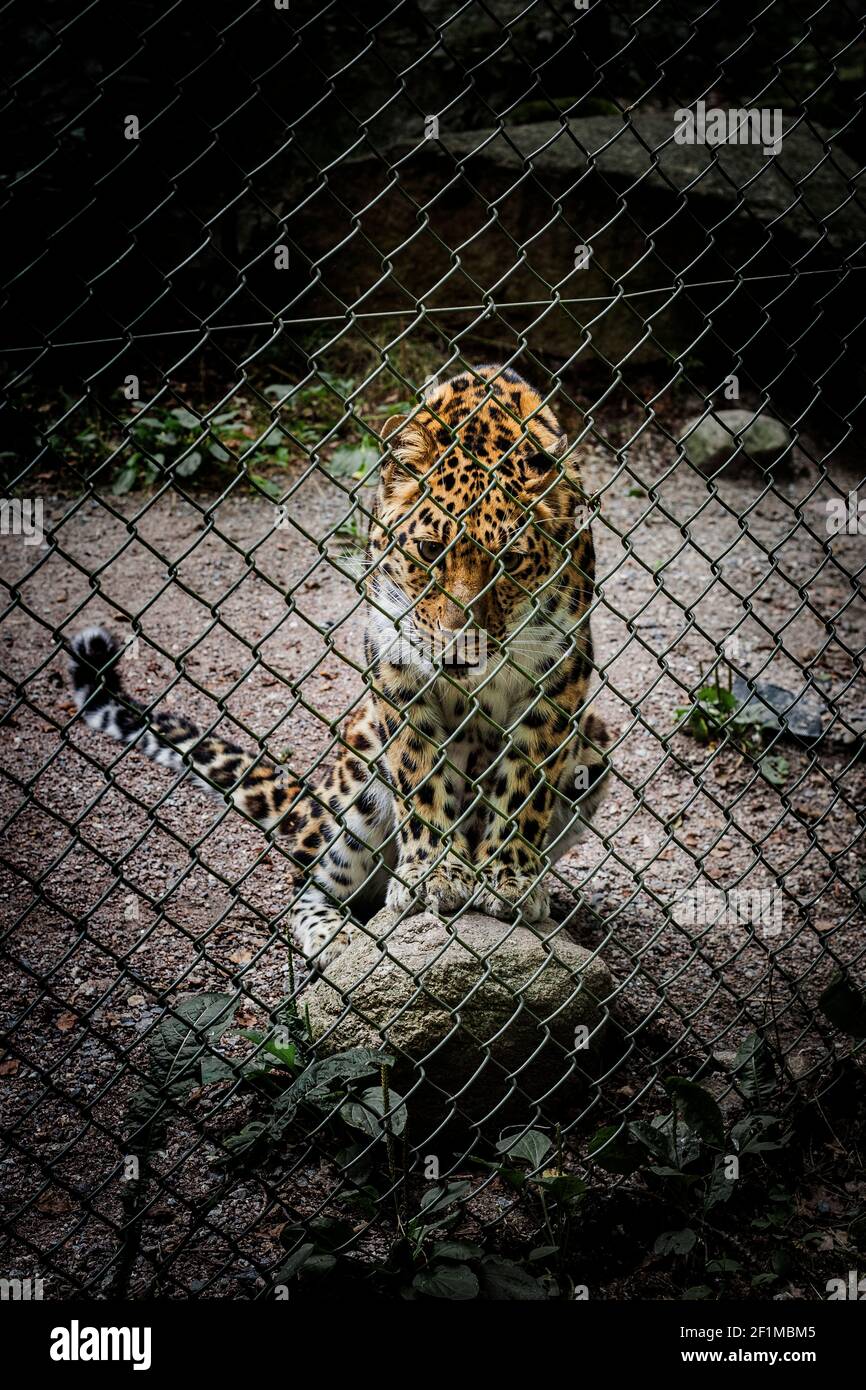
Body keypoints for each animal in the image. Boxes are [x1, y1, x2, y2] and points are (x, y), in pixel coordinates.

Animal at [69, 372, 608, 978]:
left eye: (511, 561)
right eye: (429, 550)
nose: (460, 648)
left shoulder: (558, 675)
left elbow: (523, 786)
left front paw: (510, 876)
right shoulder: (398, 667)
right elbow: (421, 777)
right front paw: (436, 874)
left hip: (595, 747)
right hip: (356, 775)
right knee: (307, 886)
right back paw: (340, 937)